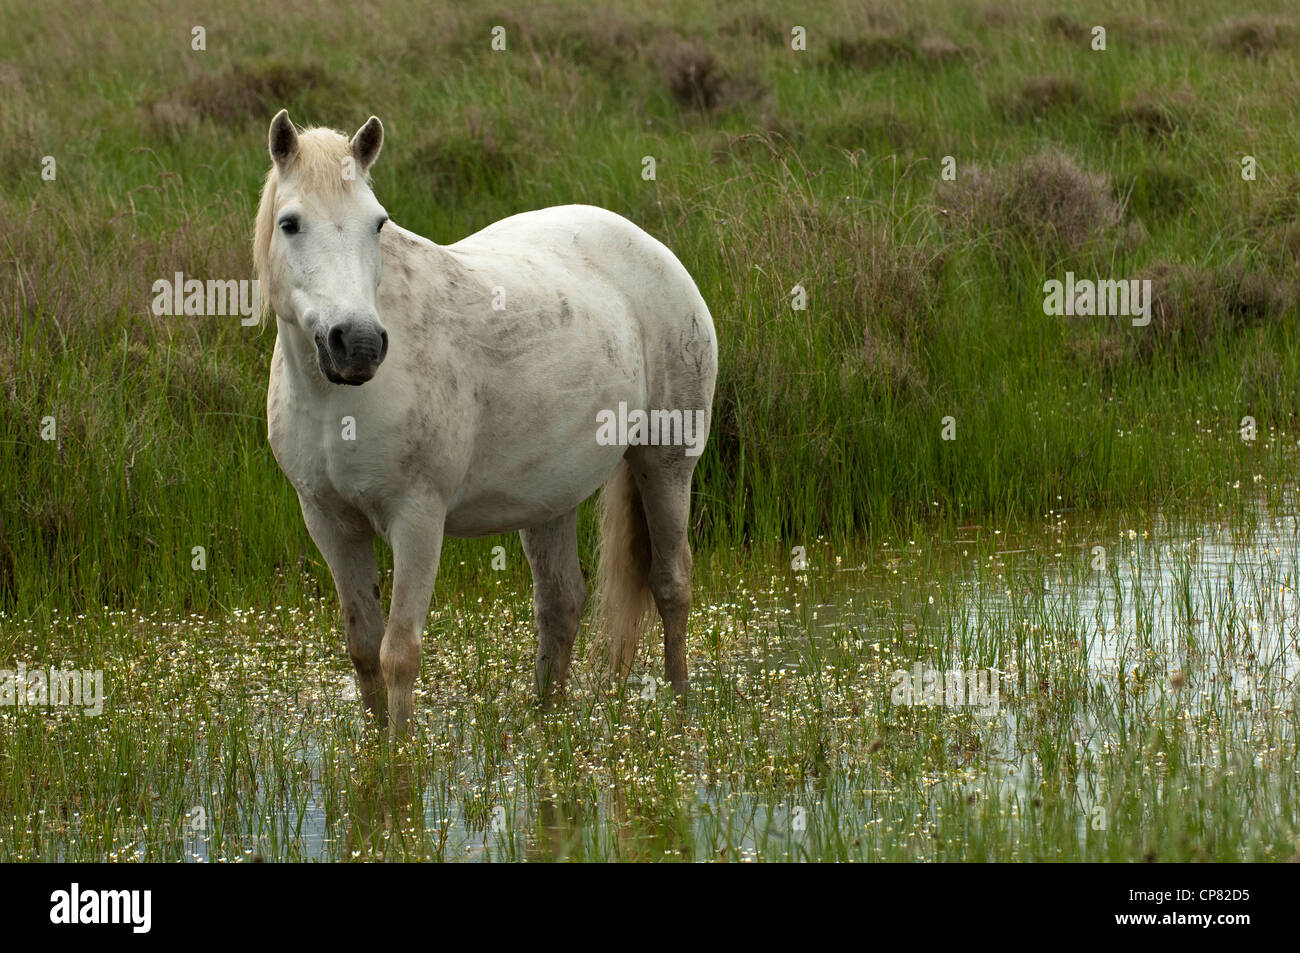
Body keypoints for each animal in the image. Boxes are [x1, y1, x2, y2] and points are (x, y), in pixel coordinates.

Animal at [254, 110, 717, 736]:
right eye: (290, 223)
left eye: (377, 224)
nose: (360, 345)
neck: (335, 402)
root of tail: (654, 249)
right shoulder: (329, 522)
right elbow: (363, 649)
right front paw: (376, 749)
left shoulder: (417, 518)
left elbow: (399, 653)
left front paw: (402, 754)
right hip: (550, 498)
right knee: (561, 605)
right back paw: (547, 720)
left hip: (666, 464)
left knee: (671, 585)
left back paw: (681, 711)